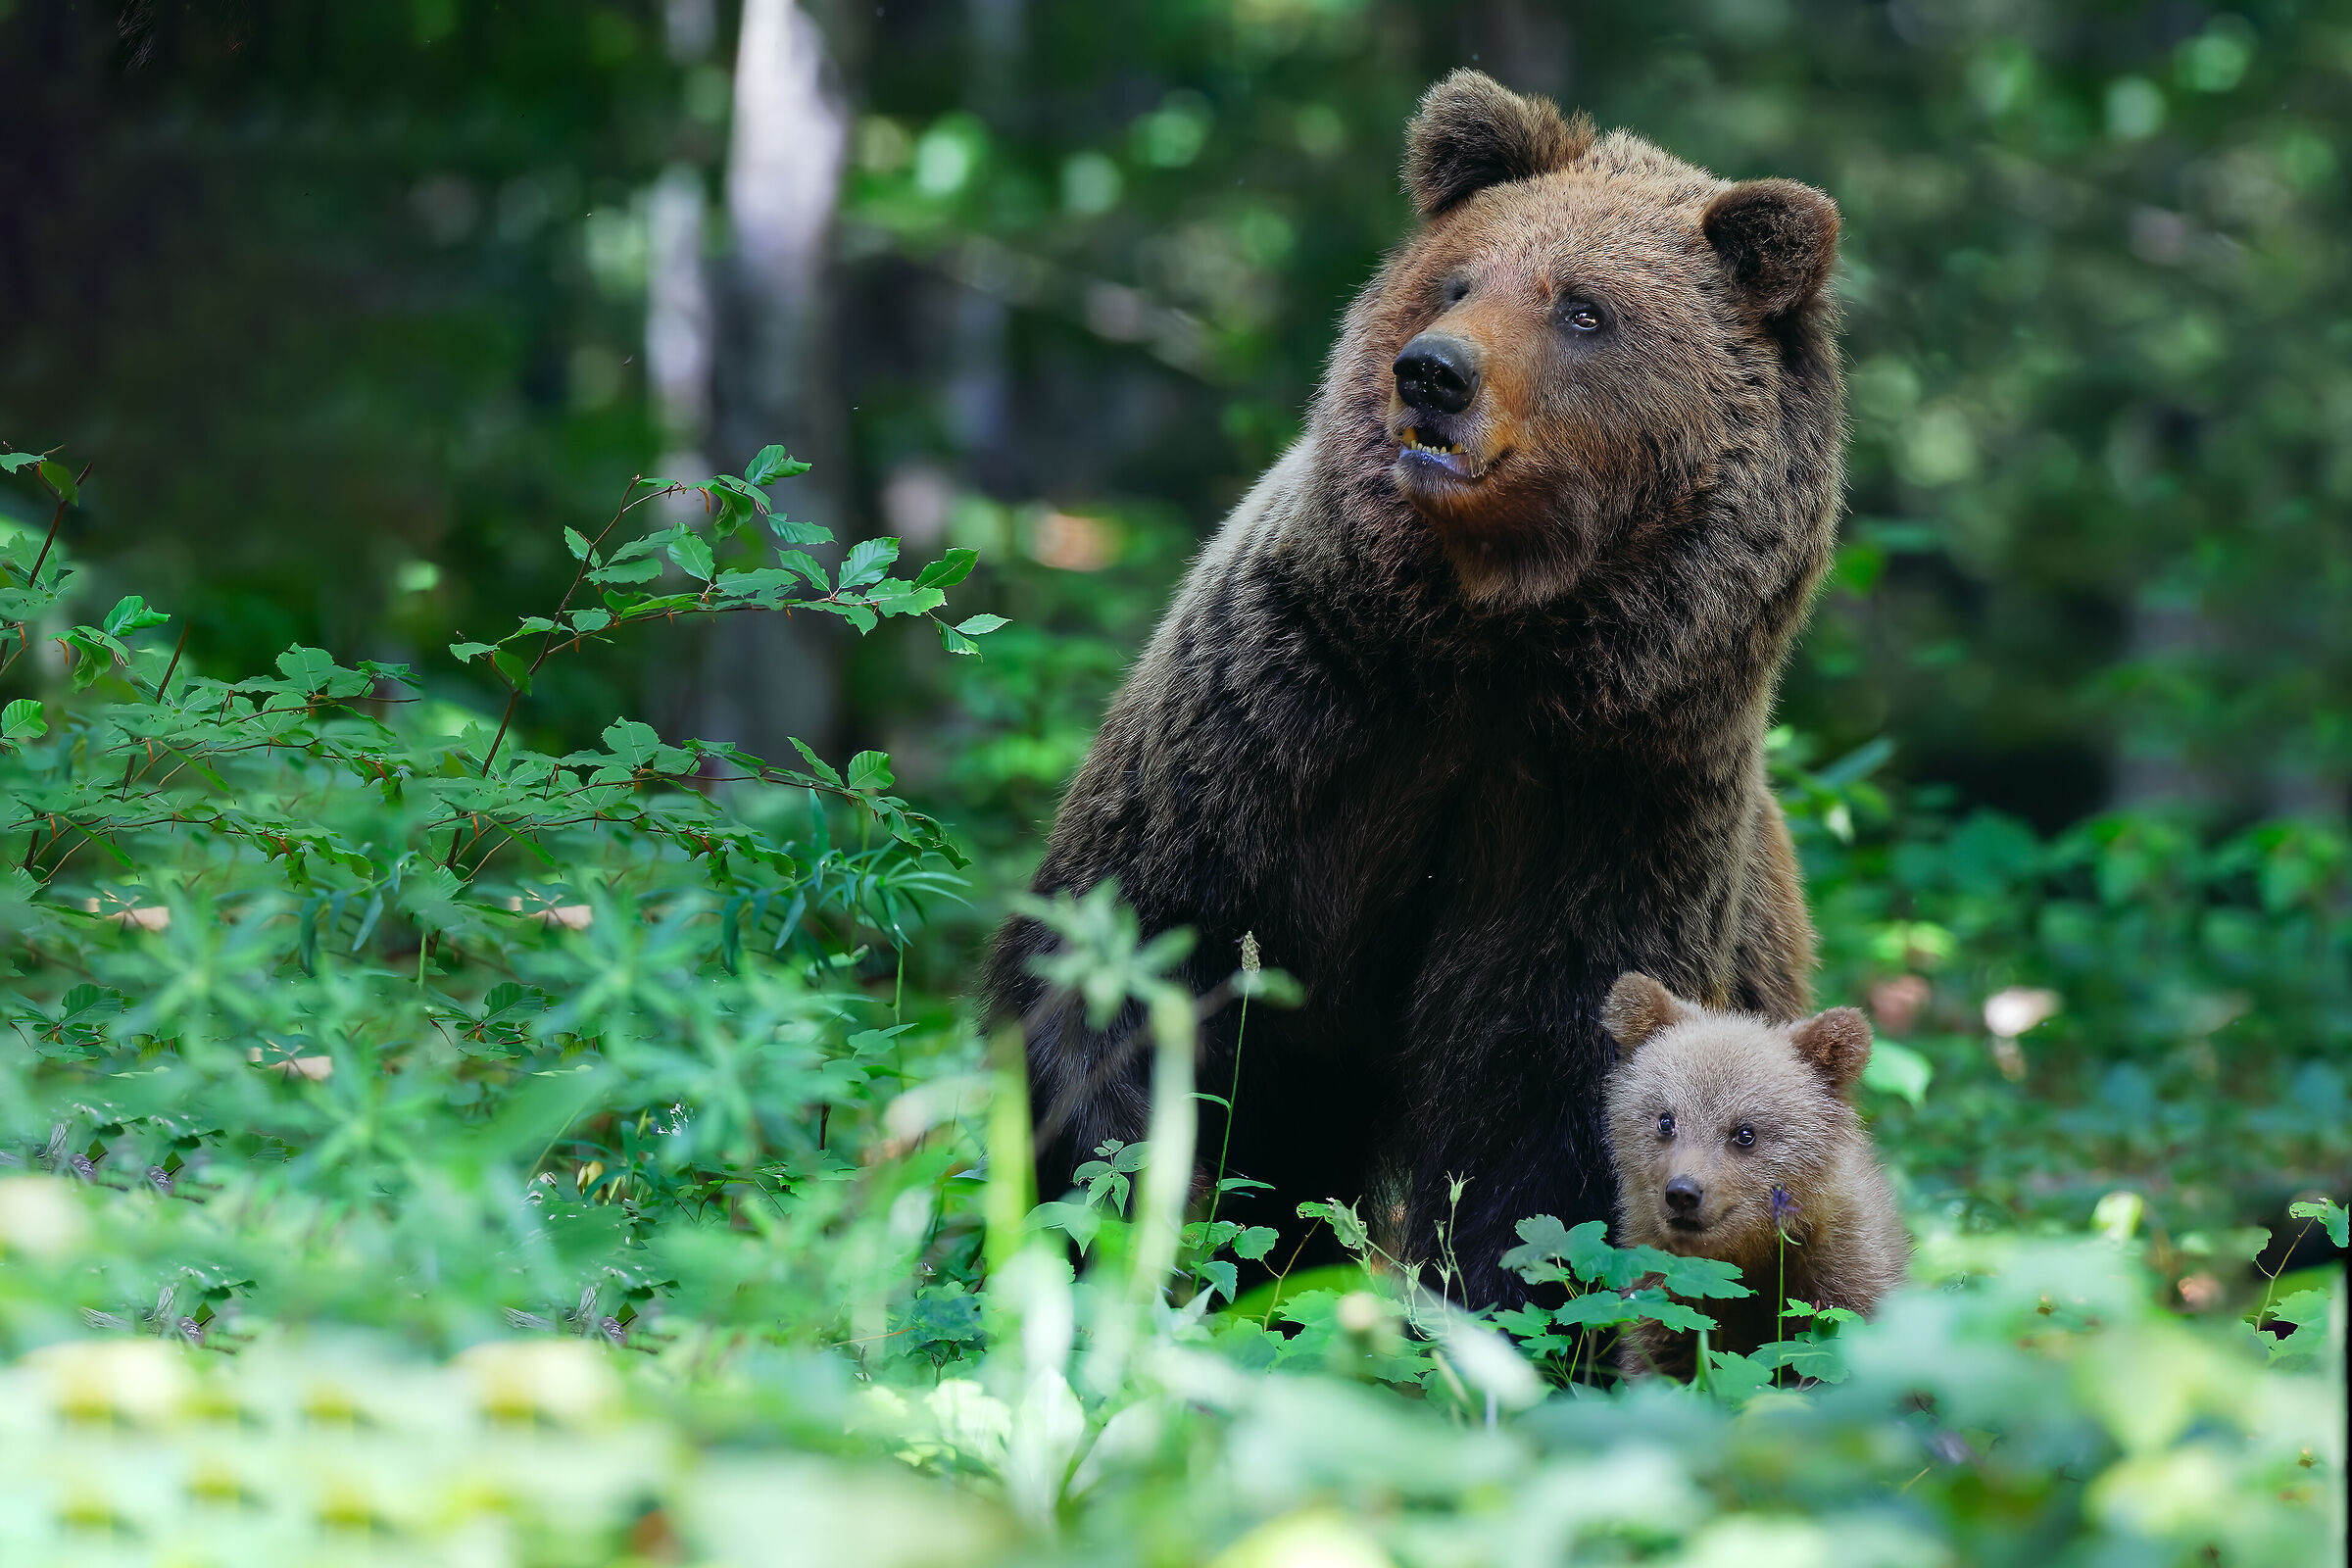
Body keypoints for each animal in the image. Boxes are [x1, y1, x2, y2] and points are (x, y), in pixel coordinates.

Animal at [986, 68, 1845, 1308]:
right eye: (1459, 277)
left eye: (1584, 309)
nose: (1433, 372)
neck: (1487, 644)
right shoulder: (1279, 721)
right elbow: (1123, 974)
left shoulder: (1607, 799)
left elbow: (1542, 1099)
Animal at [1600, 971, 1910, 1379]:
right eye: (1665, 1120)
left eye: (1745, 1132)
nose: (1683, 1192)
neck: (1749, 1254)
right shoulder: (1662, 1287)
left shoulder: (1841, 1268)